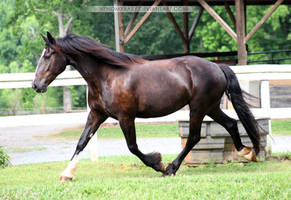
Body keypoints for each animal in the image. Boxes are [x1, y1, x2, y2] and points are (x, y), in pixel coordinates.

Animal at [33, 32, 262, 182]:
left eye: (47, 55)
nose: (36, 85)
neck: (108, 76)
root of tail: (217, 66)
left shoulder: (125, 117)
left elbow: (132, 147)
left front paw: (158, 163)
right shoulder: (97, 114)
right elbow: (81, 142)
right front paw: (66, 174)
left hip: (198, 108)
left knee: (194, 137)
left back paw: (170, 169)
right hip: (211, 107)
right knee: (231, 124)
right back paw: (248, 153)